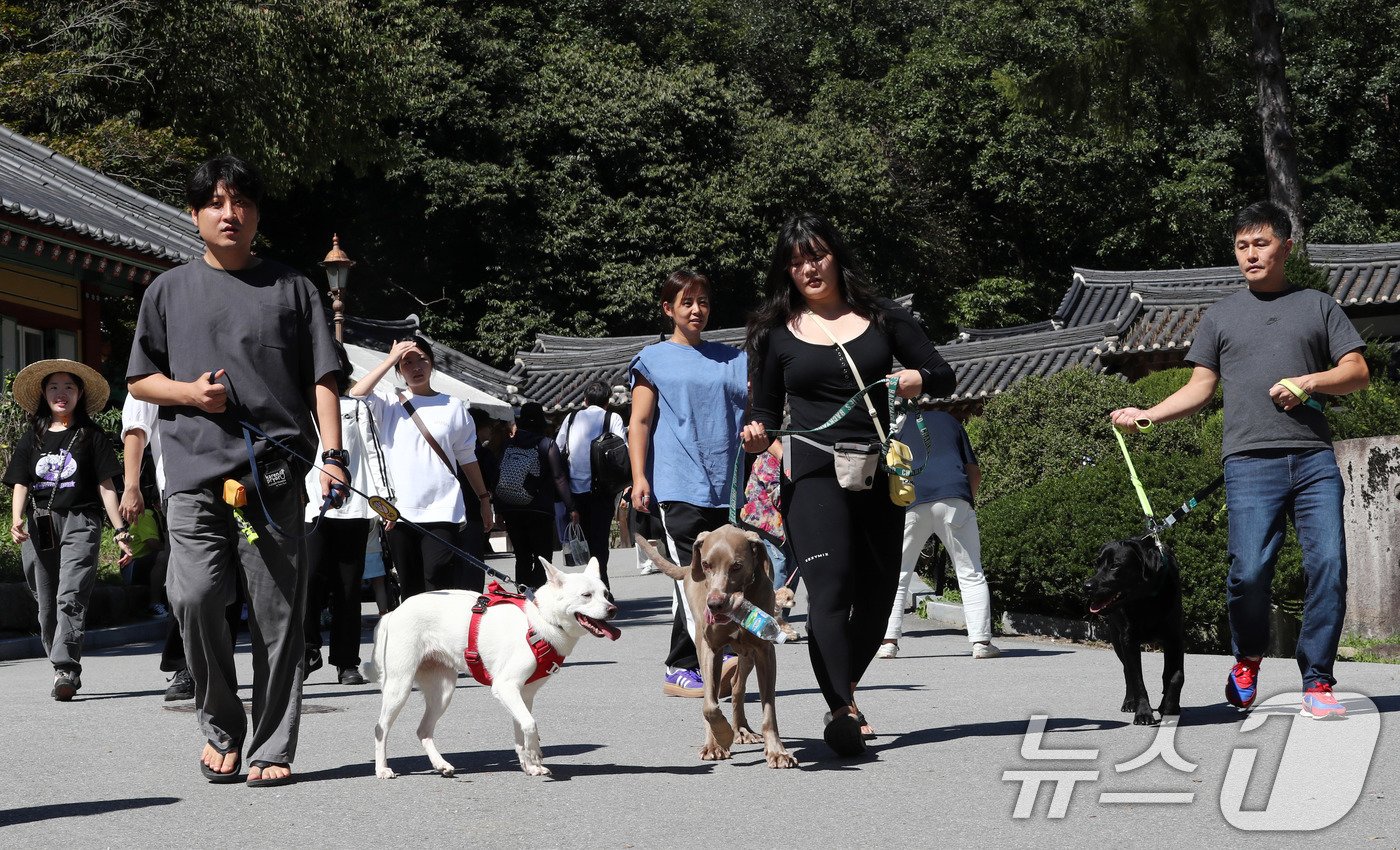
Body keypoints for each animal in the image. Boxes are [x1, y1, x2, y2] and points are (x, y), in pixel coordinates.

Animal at [366, 560, 618, 778]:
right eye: (586, 596)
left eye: (606, 594)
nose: (613, 609)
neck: (541, 620)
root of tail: (393, 612)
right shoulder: (506, 687)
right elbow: (530, 724)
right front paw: (535, 755)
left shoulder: (523, 695)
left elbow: (522, 731)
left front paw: (530, 766)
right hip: (399, 687)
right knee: (380, 729)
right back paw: (382, 769)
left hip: (442, 693)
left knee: (423, 731)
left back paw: (440, 764)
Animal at [1080, 537, 1181, 722]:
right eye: (1097, 564)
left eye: (1115, 565)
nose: (1086, 586)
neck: (1146, 601)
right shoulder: (1129, 640)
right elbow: (1136, 678)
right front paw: (1143, 712)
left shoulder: (1175, 639)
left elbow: (1176, 676)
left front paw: (1170, 707)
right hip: (1116, 639)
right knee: (1127, 670)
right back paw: (1129, 702)